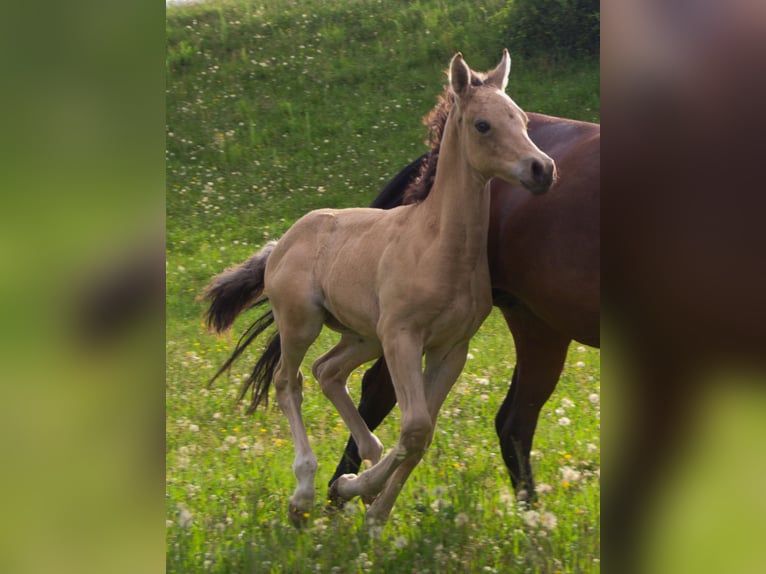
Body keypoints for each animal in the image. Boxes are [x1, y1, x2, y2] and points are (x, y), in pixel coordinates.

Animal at [201, 51, 556, 528]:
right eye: (483, 125)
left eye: (522, 119)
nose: (543, 169)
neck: (438, 246)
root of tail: (282, 242)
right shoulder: (402, 337)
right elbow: (416, 427)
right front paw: (356, 489)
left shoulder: (451, 349)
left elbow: (422, 434)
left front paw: (372, 511)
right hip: (303, 323)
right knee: (288, 381)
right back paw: (304, 492)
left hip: (362, 336)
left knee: (327, 371)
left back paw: (363, 461)